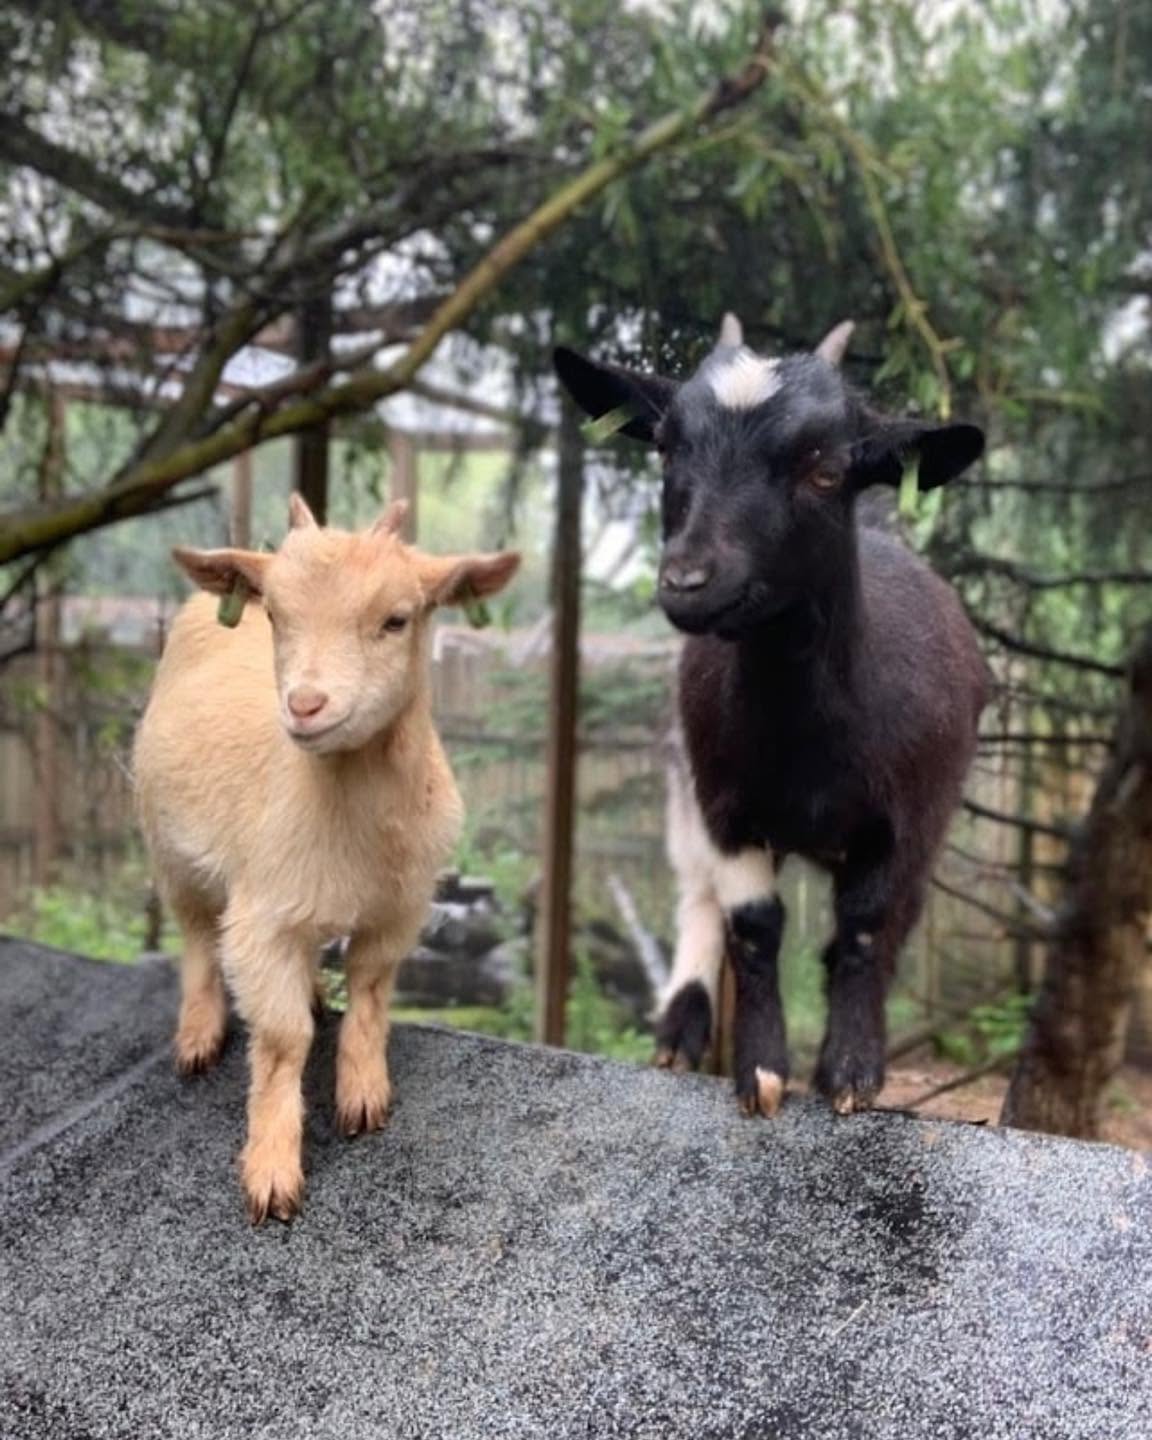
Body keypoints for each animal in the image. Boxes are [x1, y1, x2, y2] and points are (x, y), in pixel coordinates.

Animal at [133, 496, 519, 1221]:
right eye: (277, 617)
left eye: (396, 619)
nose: (306, 705)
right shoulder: (260, 919)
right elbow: (283, 1040)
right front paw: (272, 1169)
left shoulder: (401, 906)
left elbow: (368, 990)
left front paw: (363, 1095)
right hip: (169, 851)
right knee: (196, 934)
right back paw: (198, 1032)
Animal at [555, 317, 988, 1117]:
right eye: (665, 446)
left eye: (825, 469)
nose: (689, 580)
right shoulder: (726, 807)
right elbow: (754, 926)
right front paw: (759, 1070)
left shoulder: (905, 818)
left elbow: (866, 927)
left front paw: (851, 1071)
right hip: (683, 782)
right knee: (696, 894)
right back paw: (682, 1028)